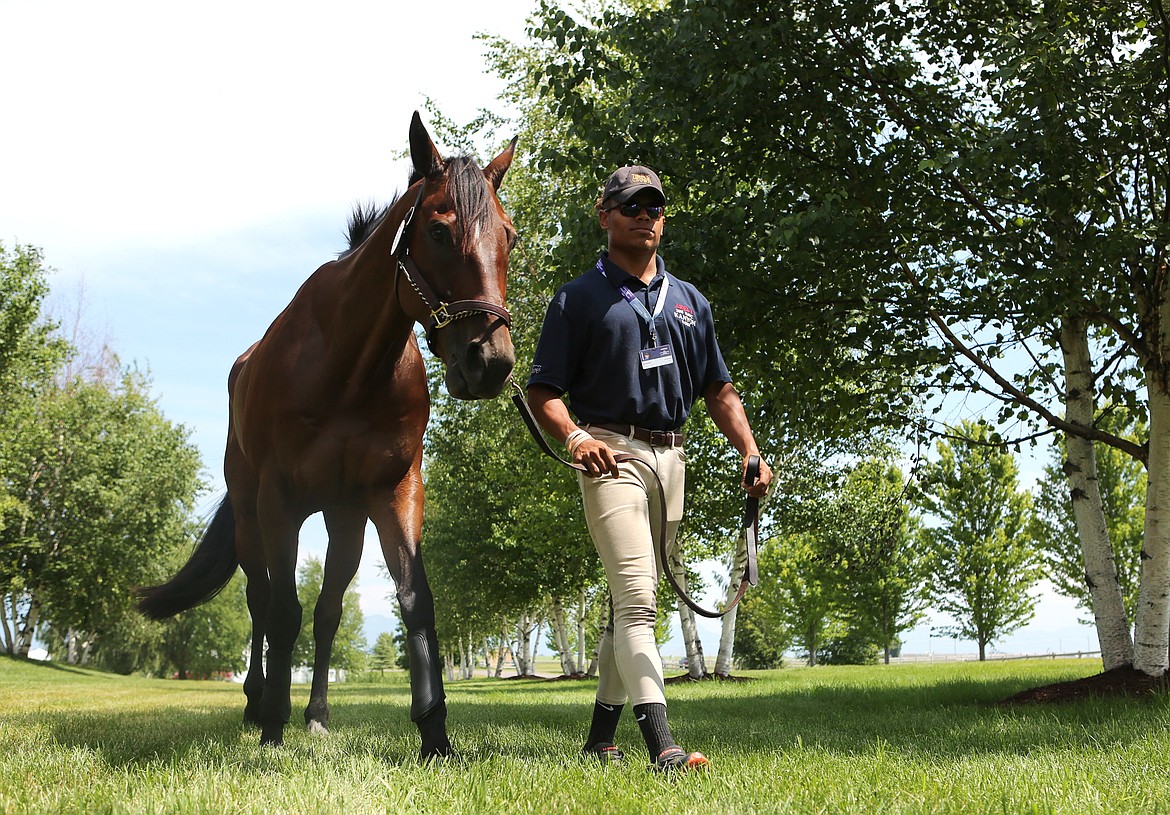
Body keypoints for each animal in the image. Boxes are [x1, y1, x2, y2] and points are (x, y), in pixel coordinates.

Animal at [134, 112, 514, 757]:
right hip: (250, 516)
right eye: (438, 231)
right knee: (262, 602)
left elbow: (413, 601)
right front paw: (271, 724)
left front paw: (434, 732)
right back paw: (257, 702)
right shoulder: (278, 499)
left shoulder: (393, 493)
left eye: (508, 236)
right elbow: (282, 610)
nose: (490, 361)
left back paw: (314, 713)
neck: (348, 370)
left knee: (327, 611)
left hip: (344, 521)